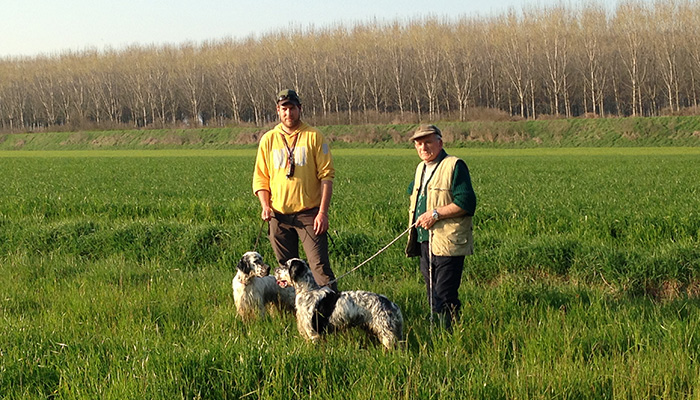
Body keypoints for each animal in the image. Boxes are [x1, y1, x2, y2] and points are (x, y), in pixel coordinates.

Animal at [274, 258, 404, 348]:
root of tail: (391, 304)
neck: (308, 290)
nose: (275, 270)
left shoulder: (313, 332)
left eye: (285, 265)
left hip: (387, 333)